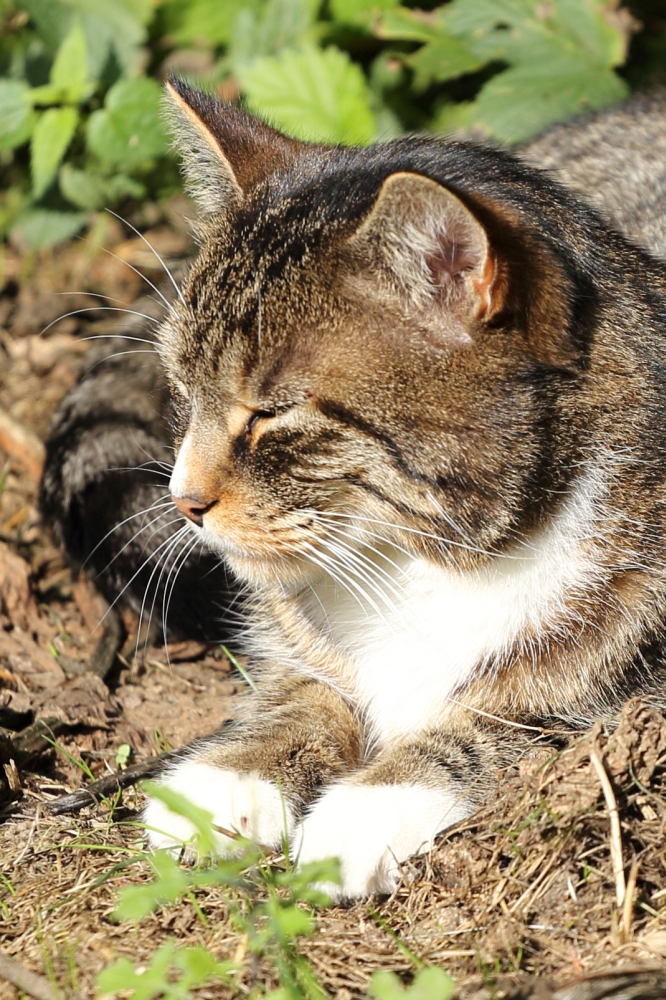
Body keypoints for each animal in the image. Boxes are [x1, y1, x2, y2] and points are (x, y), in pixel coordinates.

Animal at [42, 82, 666, 900]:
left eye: (272, 414)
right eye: (182, 390)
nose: (183, 500)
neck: (426, 564)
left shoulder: (639, 682)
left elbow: (518, 717)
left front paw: (373, 802)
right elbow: (306, 689)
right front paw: (233, 776)